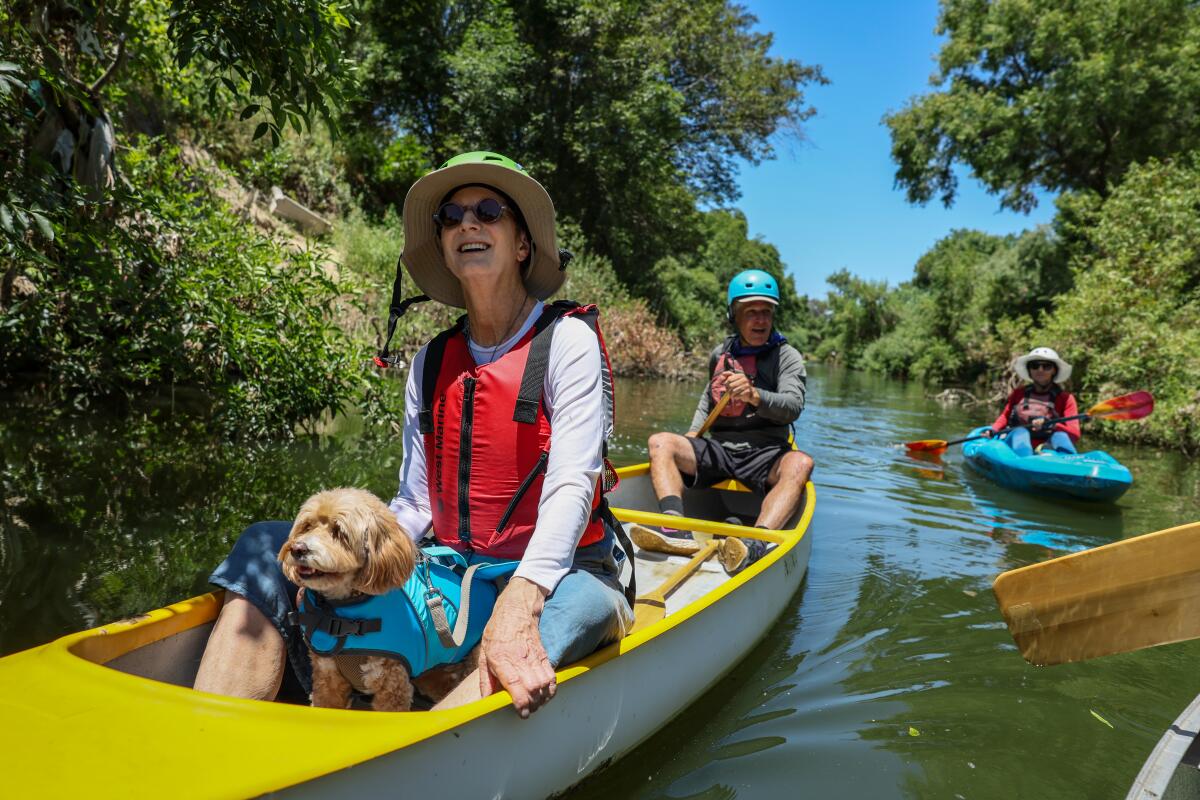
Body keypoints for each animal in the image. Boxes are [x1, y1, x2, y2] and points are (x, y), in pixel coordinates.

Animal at [278, 491, 475, 710]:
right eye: (307, 526)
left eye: (339, 532)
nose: (297, 548)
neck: (341, 610)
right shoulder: (327, 679)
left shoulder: (391, 685)